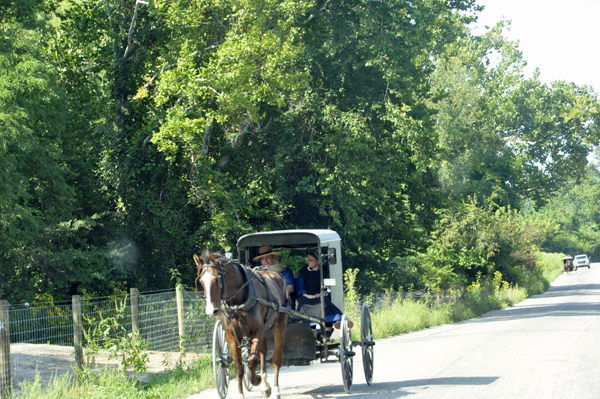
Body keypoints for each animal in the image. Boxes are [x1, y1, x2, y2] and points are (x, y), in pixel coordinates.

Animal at [195, 253, 288, 399]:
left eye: (217, 280)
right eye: (201, 282)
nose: (211, 311)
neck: (237, 303)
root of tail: (276, 275)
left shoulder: (257, 331)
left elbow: (251, 361)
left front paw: (256, 379)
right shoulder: (231, 335)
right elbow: (239, 366)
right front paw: (241, 393)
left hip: (280, 326)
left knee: (276, 359)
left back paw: (275, 389)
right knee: (263, 350)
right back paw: (265, 386)